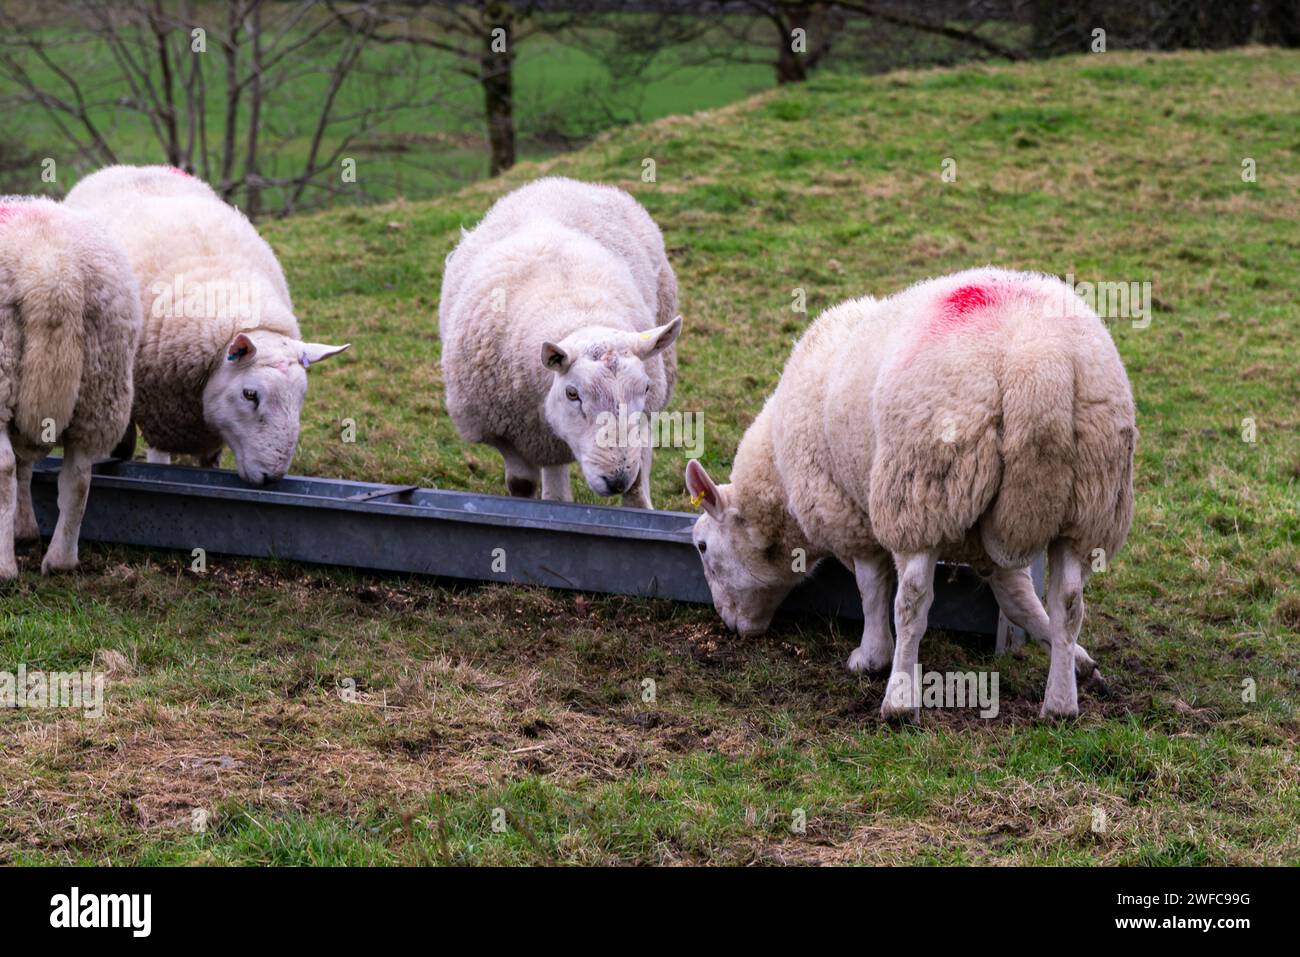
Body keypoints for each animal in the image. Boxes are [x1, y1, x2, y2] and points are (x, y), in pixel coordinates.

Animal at [0, 196, 141, 579]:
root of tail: (50, 275)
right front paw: (25, 531)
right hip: (101, 385)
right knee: (78, 477)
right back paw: (60, 561)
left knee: (3, 469)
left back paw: (5, 568)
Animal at [439, 176, 682, 508]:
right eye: (572, 393)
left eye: (644, 388)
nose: (616, 480)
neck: (575, 312)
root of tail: (560, 182)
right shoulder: (504, 432)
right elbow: (526, 486)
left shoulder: (643, 418)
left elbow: (636, 492)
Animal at [685, 268, 1136, 720]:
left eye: (702, 547)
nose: (731, 627)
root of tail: (1040, 365)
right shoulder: (991, 543)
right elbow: (1021, 602)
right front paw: (1079, 660)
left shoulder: (849, 518)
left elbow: (871, 589)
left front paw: (870, 657)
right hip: (1091, 502)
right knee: (1069, 601)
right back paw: (1060, 703)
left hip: (919, 492)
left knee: (913, 602)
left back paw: (899, 699)